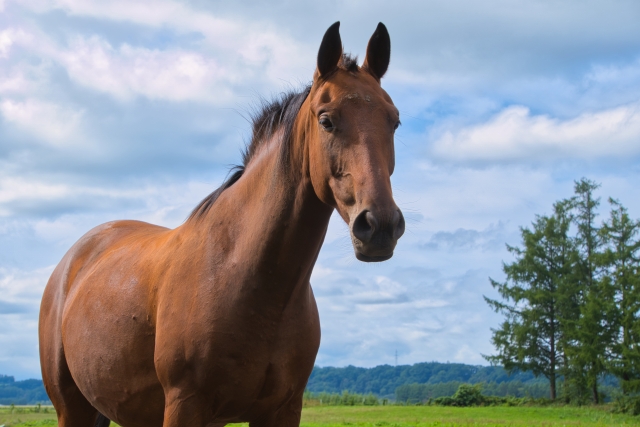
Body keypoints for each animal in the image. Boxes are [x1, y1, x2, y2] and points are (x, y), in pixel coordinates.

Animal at [38, 21, 404, 426]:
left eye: (394, 121)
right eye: (326, 120)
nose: (380, 226)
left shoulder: (283, 409)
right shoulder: (185, 404)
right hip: (72, 408)